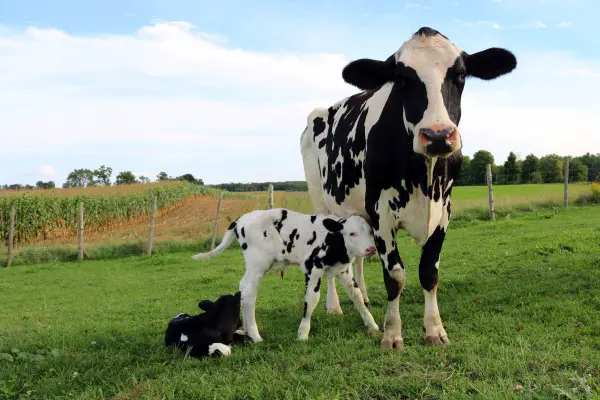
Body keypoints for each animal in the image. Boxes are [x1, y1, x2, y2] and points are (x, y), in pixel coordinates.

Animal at [191, 208, 380, 342]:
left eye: (370, 232)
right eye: (352, 233)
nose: (371, 249)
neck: (333, 240)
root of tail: (241, 219)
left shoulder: (343, 270)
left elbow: (357, 296)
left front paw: (372, 325)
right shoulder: (313, 269)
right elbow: (312, 299)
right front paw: (303, 334)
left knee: (243, 288)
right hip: (258, 264)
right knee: (248, 292)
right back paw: (255, 336)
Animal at [300, 26, 516, 348]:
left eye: (461, 74)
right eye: (402, 78)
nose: (437, 135)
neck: (422, 177)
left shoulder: (444, 211)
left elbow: (429, 272)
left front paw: (435, 330)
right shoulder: (381, 213)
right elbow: (395, 276)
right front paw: (392, 334)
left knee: (358, 258)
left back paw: (363, 296)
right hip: (322, 202)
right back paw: (334, 305)